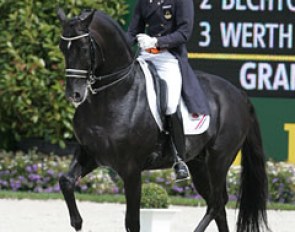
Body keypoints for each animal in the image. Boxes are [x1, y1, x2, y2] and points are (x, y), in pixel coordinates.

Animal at [56, 9, 270, 232]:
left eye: (83, 48)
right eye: (62, 47)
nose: (74, 94)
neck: (115, 95)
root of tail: (239, 94)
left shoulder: (131, 169)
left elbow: (132, 222)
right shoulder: (90, 154)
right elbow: (65, 181)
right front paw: (77, 222)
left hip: (218, 160)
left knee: (217, 203)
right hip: (198, 163)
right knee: (216, 204)